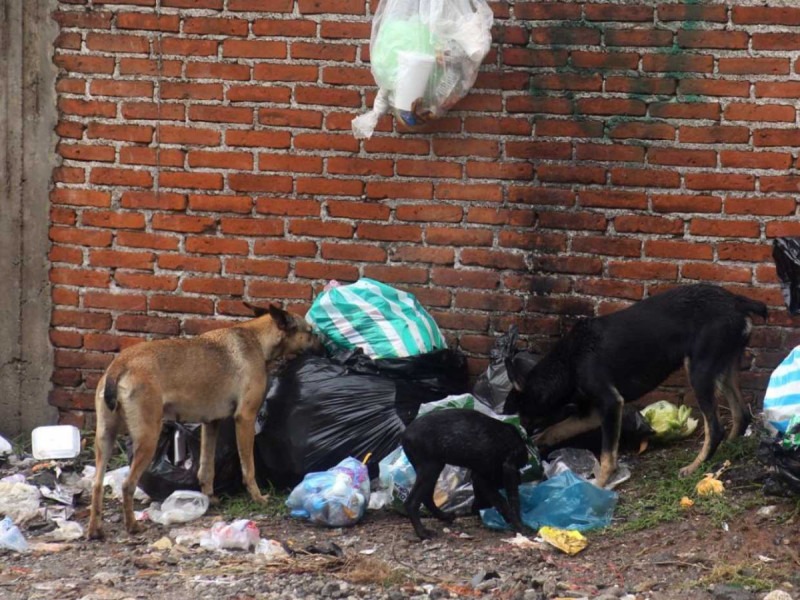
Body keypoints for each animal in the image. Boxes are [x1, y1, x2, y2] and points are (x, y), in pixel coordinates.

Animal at [87, 303, 321, 540]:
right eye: (310, 331)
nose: (323, 346)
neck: (257, 338)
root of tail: (120, 365)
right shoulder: (245, 418)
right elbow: (248, 467)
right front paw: (257, 497)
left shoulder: (211, 423)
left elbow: (206, 467)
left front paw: (209, 497)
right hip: (148, 437)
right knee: (128, 484)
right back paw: (132, 526)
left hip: (105, 437)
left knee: (97, 483)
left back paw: (95, 529)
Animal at [401, 408, 528, 539]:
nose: (474, 510)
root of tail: (405, 435)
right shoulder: (493, 474)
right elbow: (505, 500)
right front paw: (518, 525)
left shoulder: (478, 476)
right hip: (430, 468)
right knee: (411, 502)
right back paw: (422, 533)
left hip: (434, 467)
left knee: (427, 497)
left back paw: (444, 516)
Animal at [504, 284, 768, 488]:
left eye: (522, 416)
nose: (520, 436)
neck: (569, 361)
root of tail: (736, 301)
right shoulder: (593, 412)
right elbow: (554, 430)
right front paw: (538, 444)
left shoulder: (611, 403)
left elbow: (607, 457)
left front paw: (599, 485)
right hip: (722, 369)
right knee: (741, 414)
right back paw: (728, 448)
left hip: (699, 371)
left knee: (715, 427)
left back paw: (695, 465)